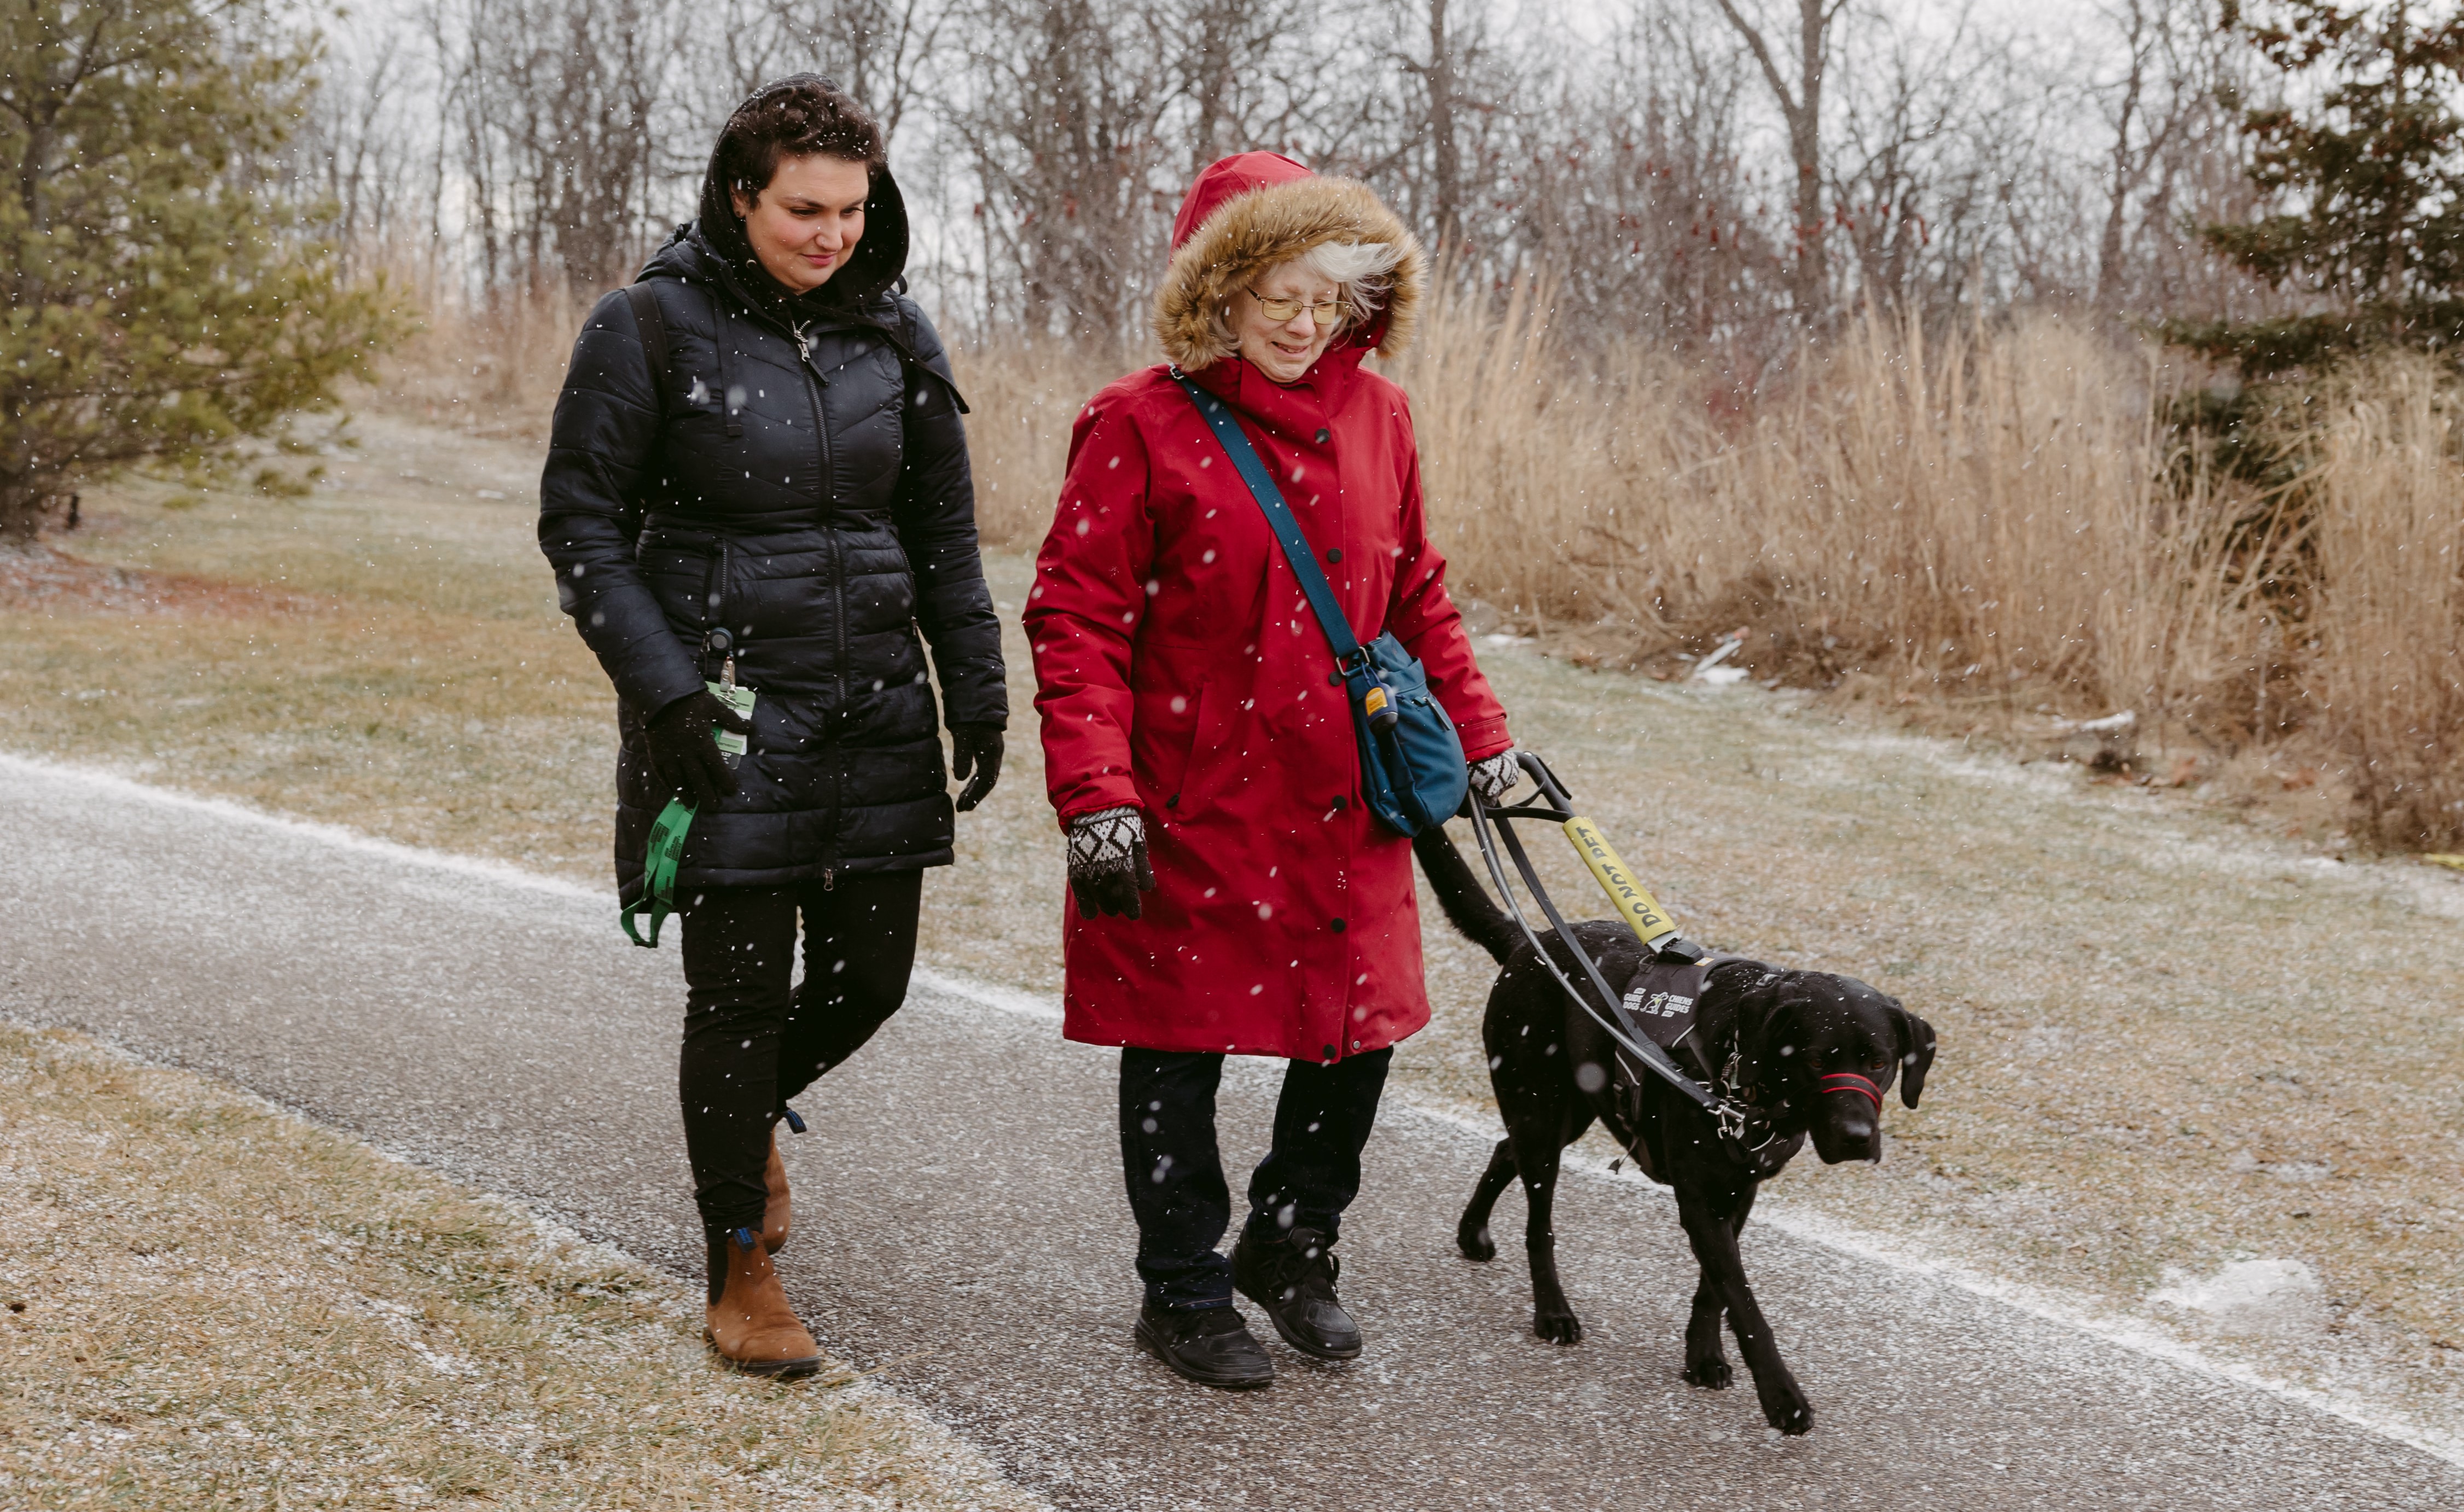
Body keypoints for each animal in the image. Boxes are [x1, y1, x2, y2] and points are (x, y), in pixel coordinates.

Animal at [1419, 822, 1932, 1438]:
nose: (1857, 1135)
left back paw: (1473, 1231)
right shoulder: (1701, 1199)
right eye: (1812, 1058)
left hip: (1568, 1109)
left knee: (1504, 1149)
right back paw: (1552, 1311)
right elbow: (1745, 1303)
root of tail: (1531, 941)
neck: (1743, 1073)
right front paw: (1782, 1397)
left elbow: (1715, 1292)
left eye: (1879, 1061)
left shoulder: (1738, 1192)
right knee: (1538, 1223)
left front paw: (1703, 1355)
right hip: (1541, 1112)